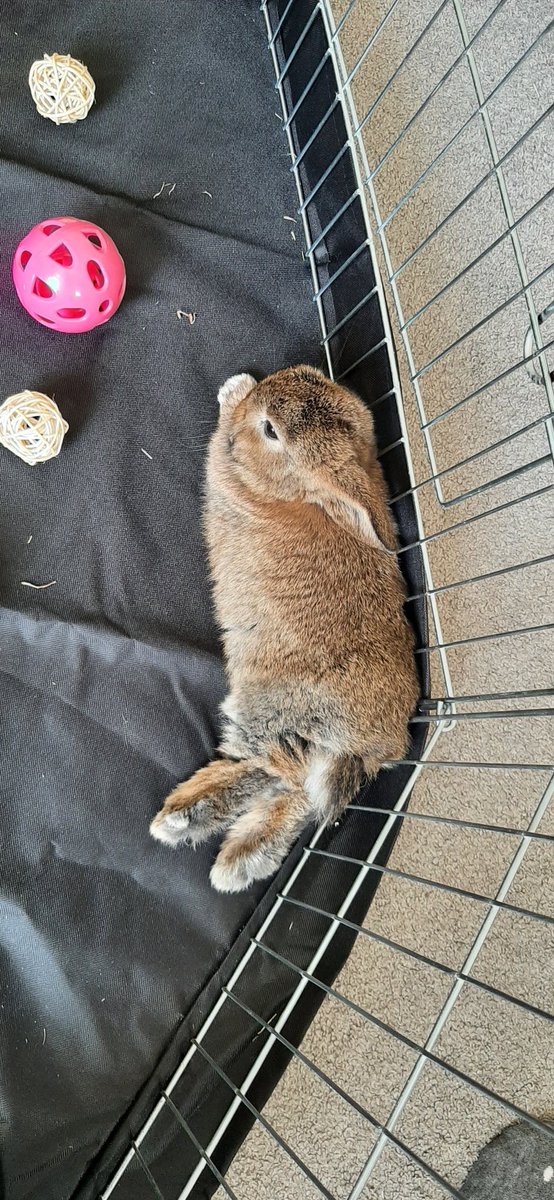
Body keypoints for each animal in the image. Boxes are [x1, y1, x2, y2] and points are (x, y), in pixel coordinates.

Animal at [149, 364, 417, 892]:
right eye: (307, 373)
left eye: (271, 430)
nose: (254, 392)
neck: (292, 488)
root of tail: (374, 749)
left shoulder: (225, 464)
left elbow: (220, 438)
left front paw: (232, 391)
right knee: (293, 791)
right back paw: (239, 856)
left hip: (270, 714)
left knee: (277, 775)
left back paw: (187, 822)